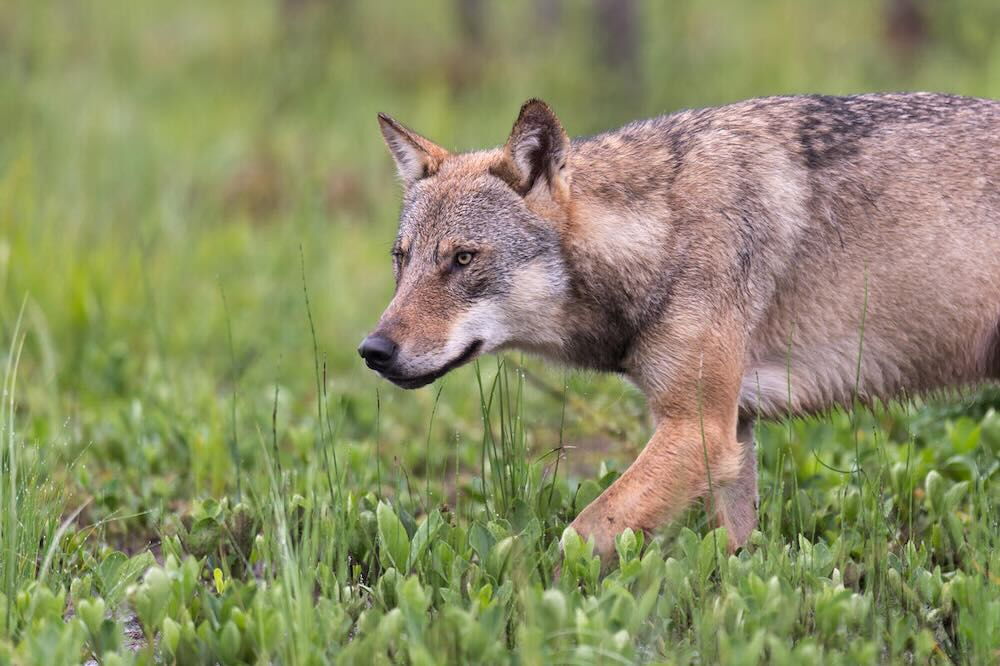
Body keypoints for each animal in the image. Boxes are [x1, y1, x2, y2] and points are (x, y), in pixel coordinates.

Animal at [359, 93, 1000, 565]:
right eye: (401, 259)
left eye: (462, 259)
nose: (372, 350)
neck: (662, 232)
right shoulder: (731, 434)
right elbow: (735, 555)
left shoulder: (697, 431)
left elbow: (578, 536)